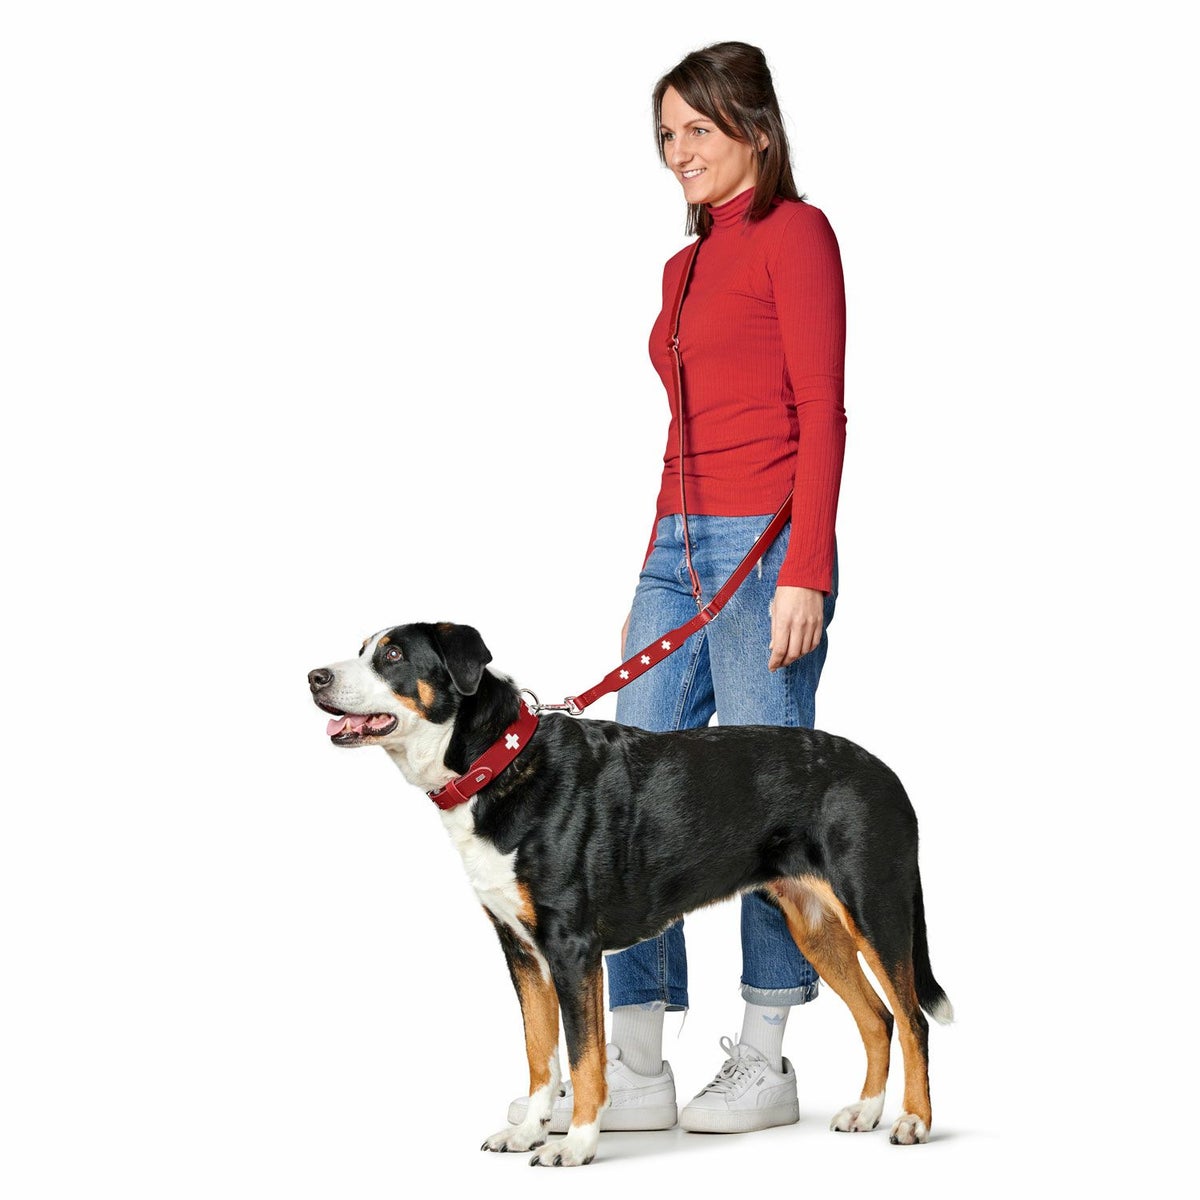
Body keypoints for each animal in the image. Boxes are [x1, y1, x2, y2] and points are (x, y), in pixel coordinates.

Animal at [308, 621, 952, 1166]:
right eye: (362, 648)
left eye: (392, 655)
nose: (315, 677)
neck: (501, 762)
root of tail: (886, 773)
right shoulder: (523, 953)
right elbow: (541, 1054)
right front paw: (529, 1131)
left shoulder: (571, 948)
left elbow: (584, 1057)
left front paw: (575, 1144)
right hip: (815, 927)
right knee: (877, 1019)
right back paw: (866, 1111)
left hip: (875, 909)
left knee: (912, 1020)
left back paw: (913, 1122)